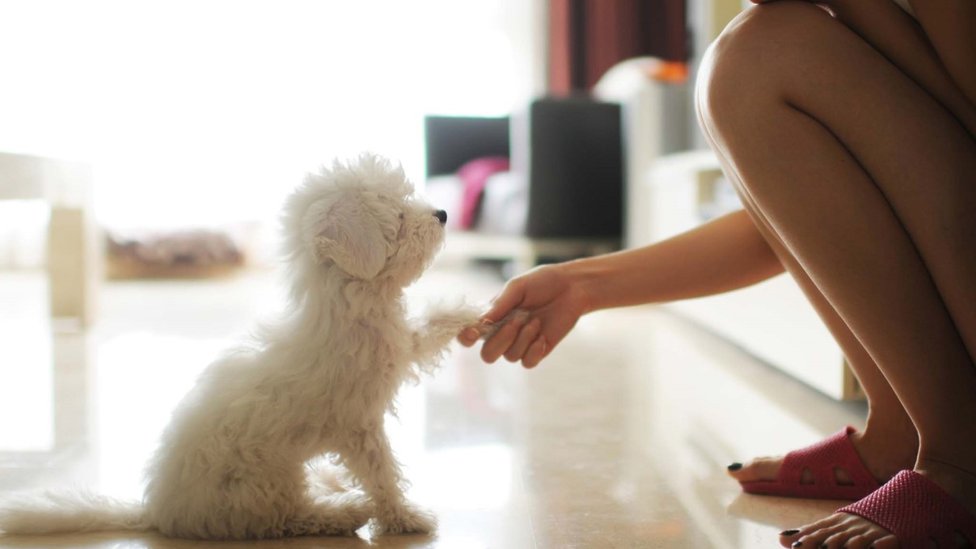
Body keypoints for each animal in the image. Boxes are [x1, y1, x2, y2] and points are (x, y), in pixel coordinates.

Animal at [0, 154, 482, 540]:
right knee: (290, 517)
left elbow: (426, 330)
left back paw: (330, 483)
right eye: (398, 217)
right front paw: (405, 517)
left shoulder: (400, 345)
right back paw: (343, 508)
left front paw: (472, 314)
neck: (349, 307)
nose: (441, 213)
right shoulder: (358, 425)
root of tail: (156, 511)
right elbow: (381, 473)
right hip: (263, 482)